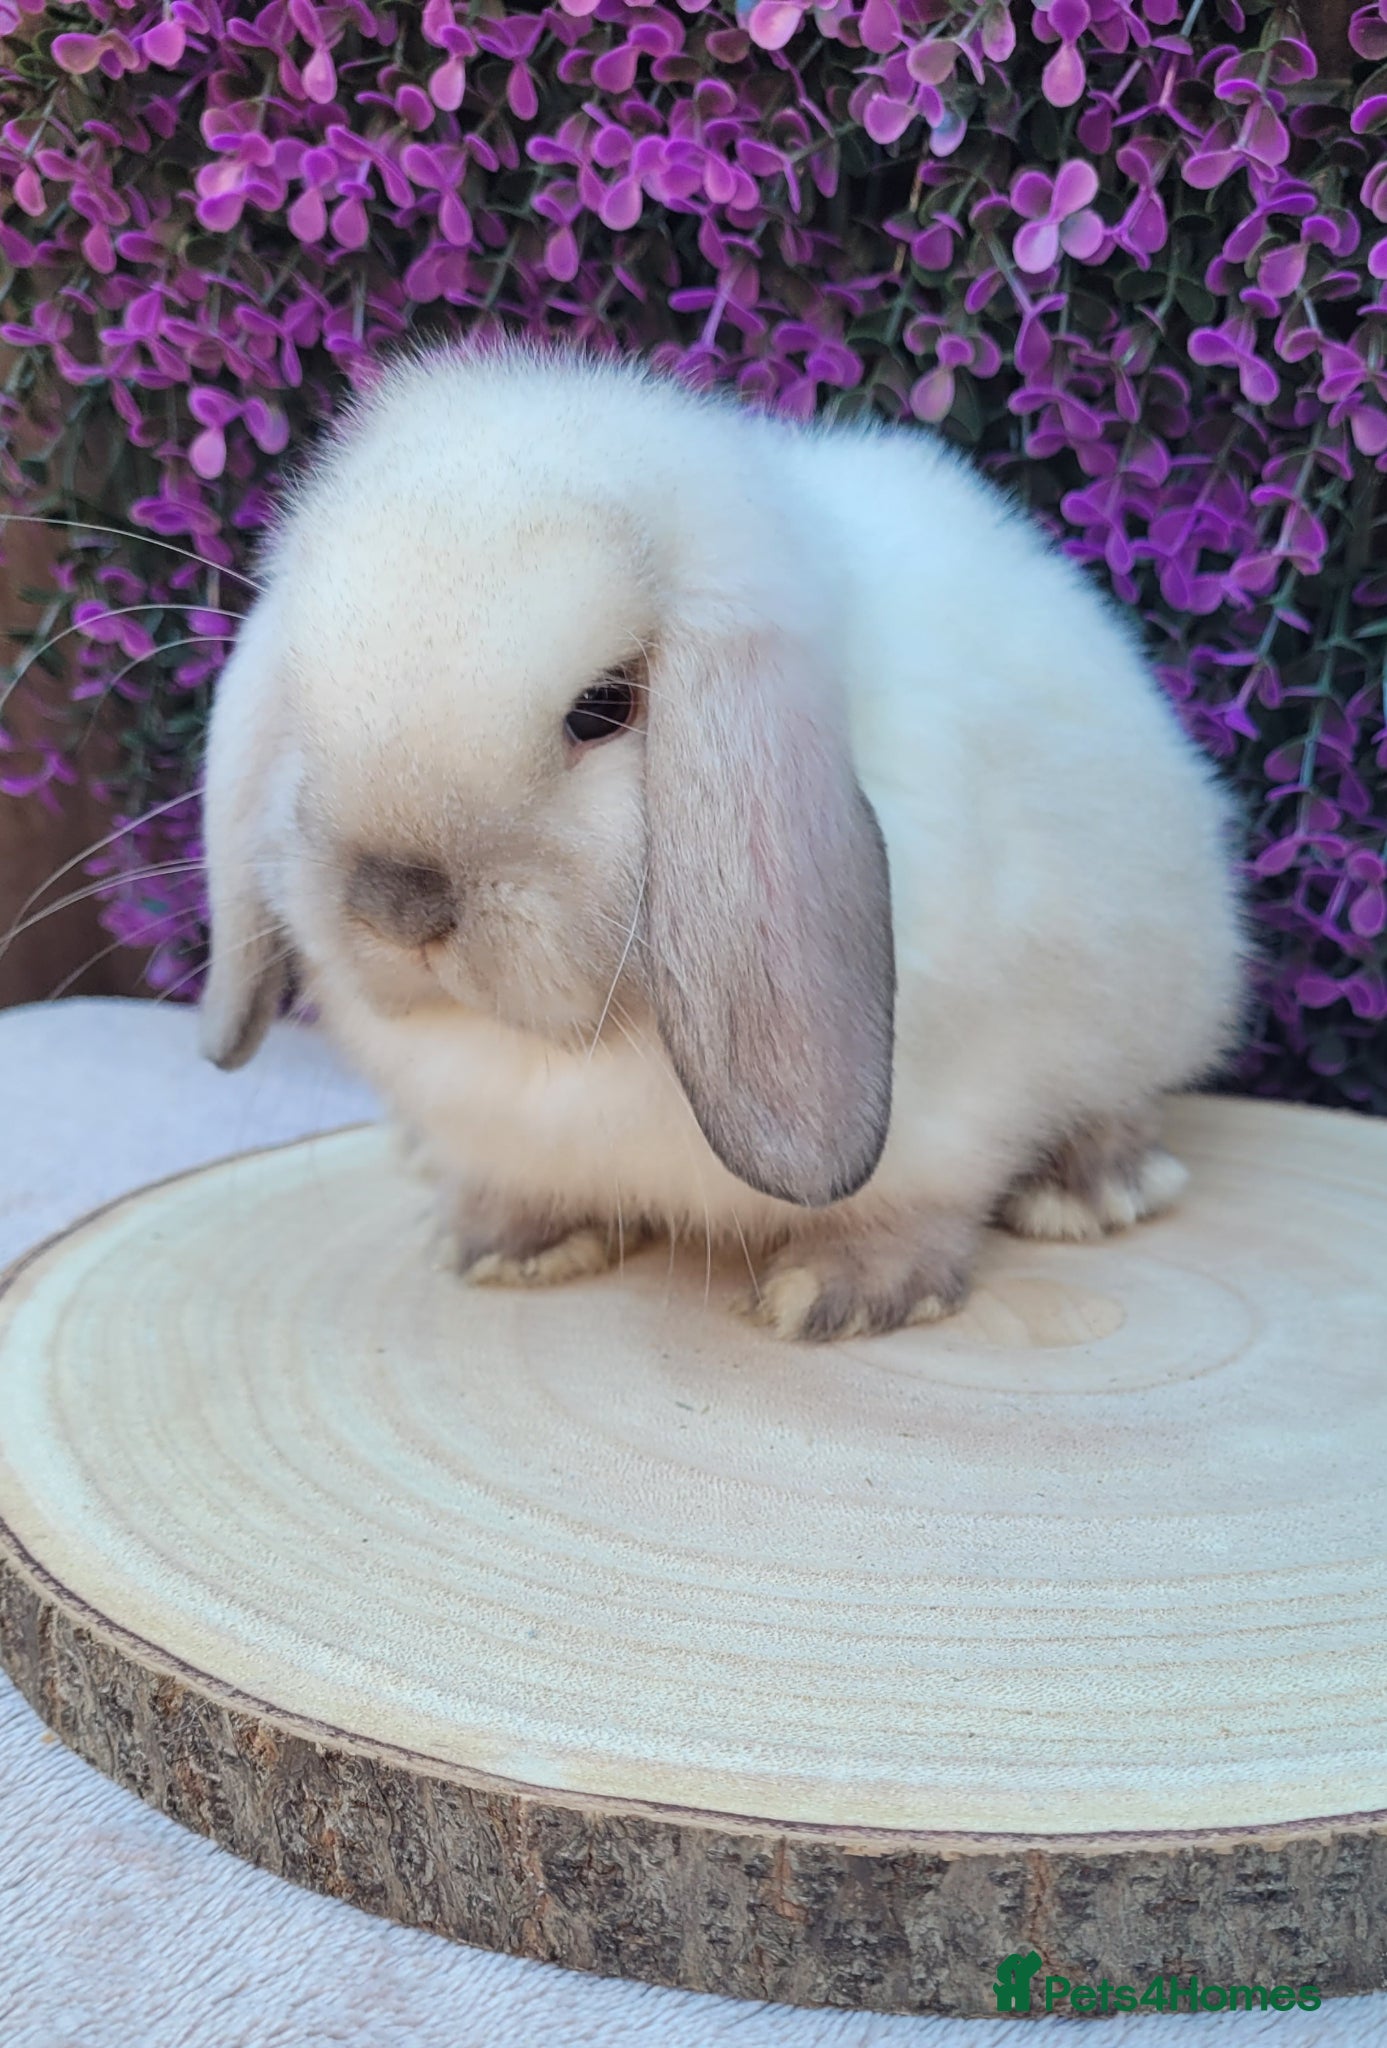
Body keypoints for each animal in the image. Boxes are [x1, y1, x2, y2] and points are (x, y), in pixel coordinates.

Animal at [198, 337, 1248, 1342]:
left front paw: (847, 1291)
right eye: (303, 697)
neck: (579, 1044)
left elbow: (915, 1204)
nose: (397, 906)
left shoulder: (955, 1107)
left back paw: (1094, 1188)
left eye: (601, 708)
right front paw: (503, 1244)